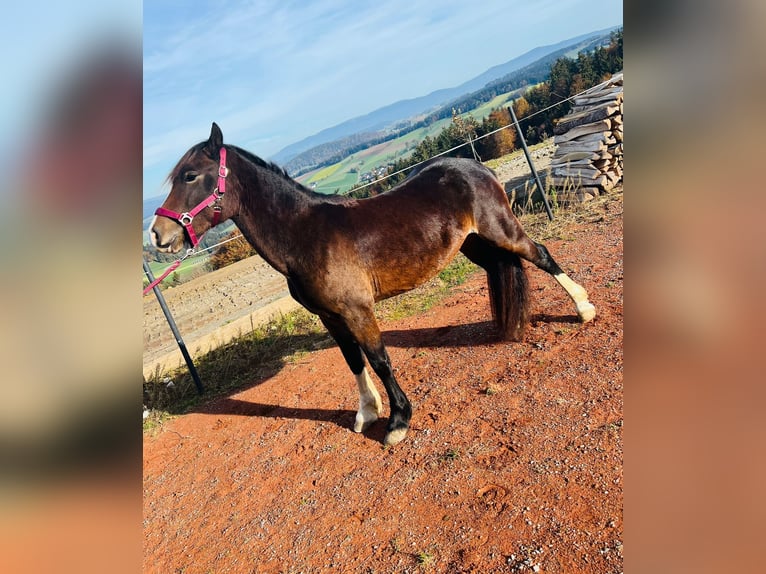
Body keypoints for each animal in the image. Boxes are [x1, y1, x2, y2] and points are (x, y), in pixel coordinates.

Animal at [148, 122, 592, 450]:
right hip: (475, 246)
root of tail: (476, 167)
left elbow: (379, 359)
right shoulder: (330, 317)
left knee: (542, 255)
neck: (305, 235)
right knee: (505, 266)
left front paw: (398, 421)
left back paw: (584, 308)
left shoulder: (358, 310)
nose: (157, 235)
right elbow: (354, 361)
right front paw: (366, 413)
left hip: (502, 232)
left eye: (190, 175)